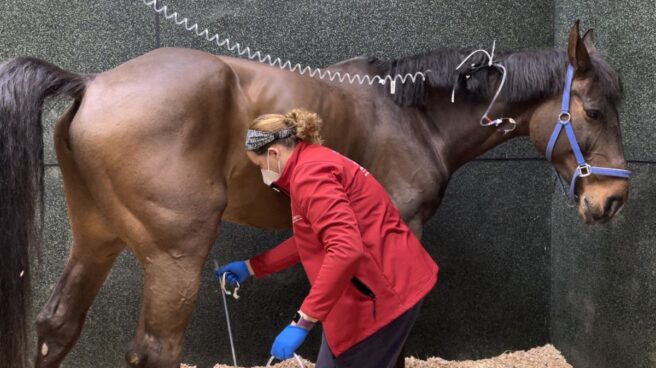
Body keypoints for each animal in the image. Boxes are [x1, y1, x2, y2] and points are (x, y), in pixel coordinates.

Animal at [1, 21, 632, 366]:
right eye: (595, 110)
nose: (613, 201)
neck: (411, 115)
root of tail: (91, 84)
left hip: (96, 239)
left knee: (57, 327)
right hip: (173, 258)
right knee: (155, 350)